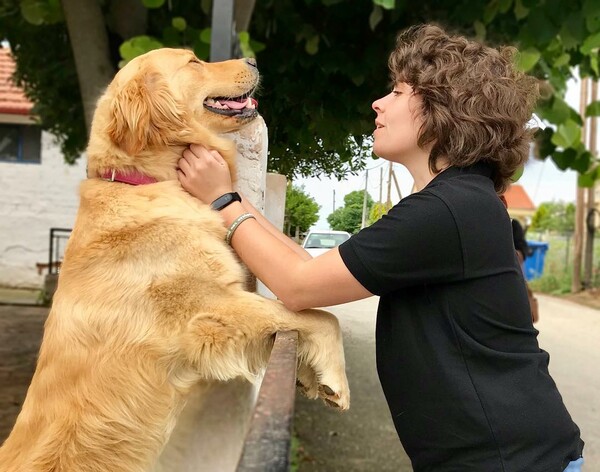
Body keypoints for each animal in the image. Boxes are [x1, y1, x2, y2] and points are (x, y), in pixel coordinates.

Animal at [0, 48, 350, 472]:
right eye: (194, 61)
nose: (253, 59)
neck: (143, 180)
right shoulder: (213, 308)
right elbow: (317, 317)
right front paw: (333, 380)